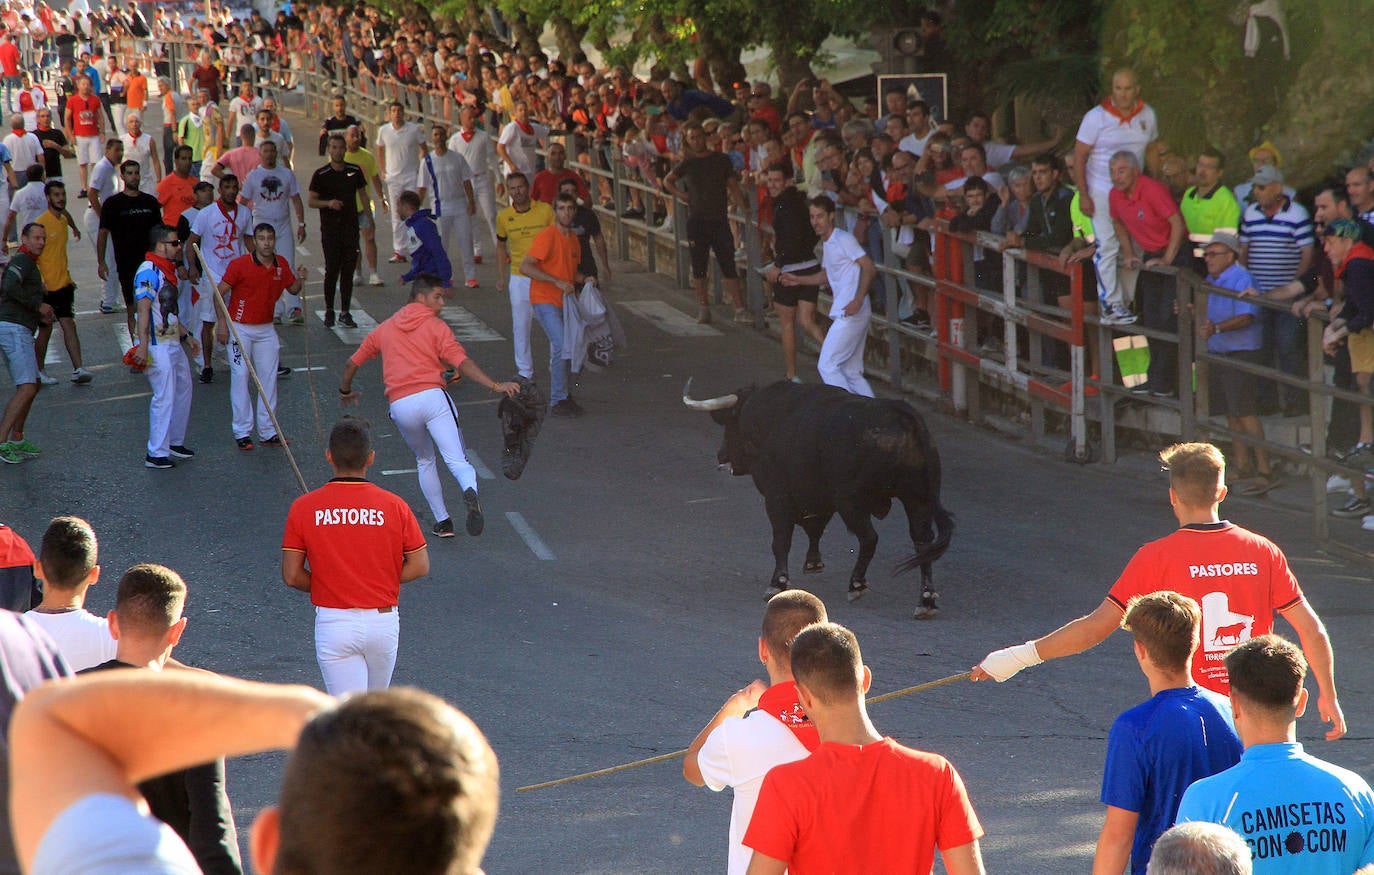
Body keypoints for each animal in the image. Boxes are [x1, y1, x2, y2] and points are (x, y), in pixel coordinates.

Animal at [687, 381, 956, 615]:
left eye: (730, 424)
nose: (721, 455)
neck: (769, 419)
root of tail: (900, 414)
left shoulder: (777, 496)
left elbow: (781, 539)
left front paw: (777, 583)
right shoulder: (818, 497)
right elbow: (815, 529)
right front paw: (813, 563)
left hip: (851, 501)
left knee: (869, 538)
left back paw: (857, 585)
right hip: (918, 498)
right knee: (922, 541)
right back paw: (926, 601)